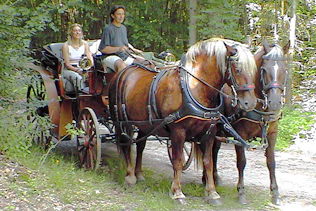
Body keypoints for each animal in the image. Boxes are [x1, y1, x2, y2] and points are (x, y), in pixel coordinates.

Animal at [107, 38, 258, 204]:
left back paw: (139, 173)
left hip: (144, 122)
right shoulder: (178, 131)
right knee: (126, 144)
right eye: (237, 68)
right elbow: (178, 161)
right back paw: (129, 176)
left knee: (140, 145)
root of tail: (121, 73)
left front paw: (212, 193)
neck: (194, 87)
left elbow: (208, 162)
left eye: (253, 70)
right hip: (122, 122)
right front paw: (177, 192)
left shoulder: (209, 132)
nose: (250, 103)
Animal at [214, 39, 290, 204]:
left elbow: (271, 162)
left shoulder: (272, 134)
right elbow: (241, 162)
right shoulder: (239, 135)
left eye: (285, 70)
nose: (275, 102)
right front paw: (241, 192)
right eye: (264, 70)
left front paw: (275, 192)